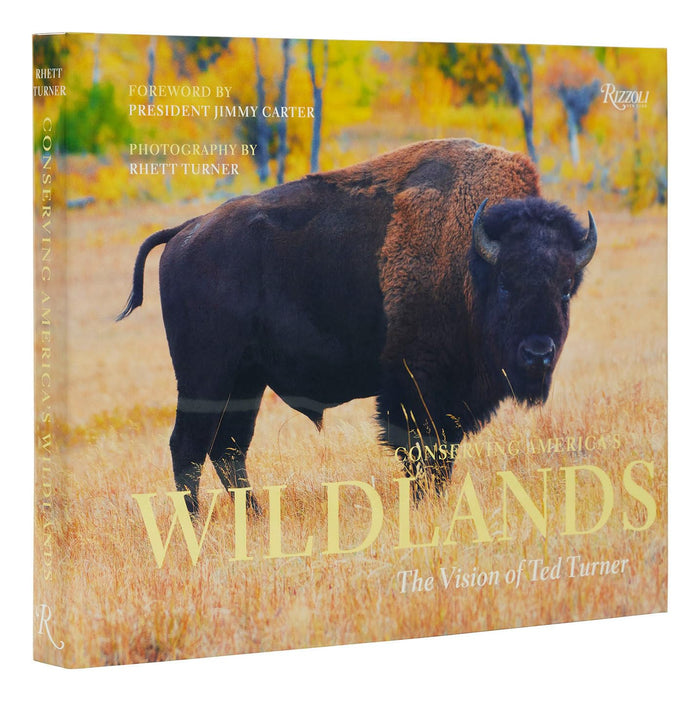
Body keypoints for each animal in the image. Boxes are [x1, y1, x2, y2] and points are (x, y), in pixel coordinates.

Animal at [117, 138, 597, 514]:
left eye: (566, 287)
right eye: (506, 284)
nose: (538, 353)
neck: (470, 259)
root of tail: (186, 230)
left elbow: (442, 454)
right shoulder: (417, 387)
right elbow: (422, 451)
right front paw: (422, 506)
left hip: (245, 382)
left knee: (228, 448)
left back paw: (252, 519)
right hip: (204, 377)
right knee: (189, 447)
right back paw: (196, 526)